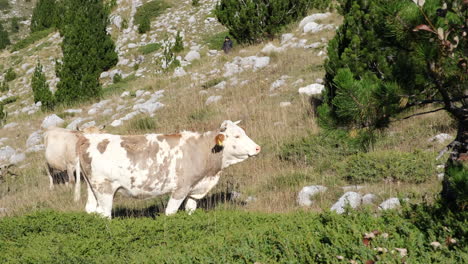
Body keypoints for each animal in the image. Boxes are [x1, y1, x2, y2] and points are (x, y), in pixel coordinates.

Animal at [76, 120, 260, 218]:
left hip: (93, 189)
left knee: (91, 210)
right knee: (104, 214)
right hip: (104, 189)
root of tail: (89, 138)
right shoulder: (180, 189)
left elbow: (190, 210)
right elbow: (171, 212)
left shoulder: (194, 189)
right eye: (237, 136)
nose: (258, 148)